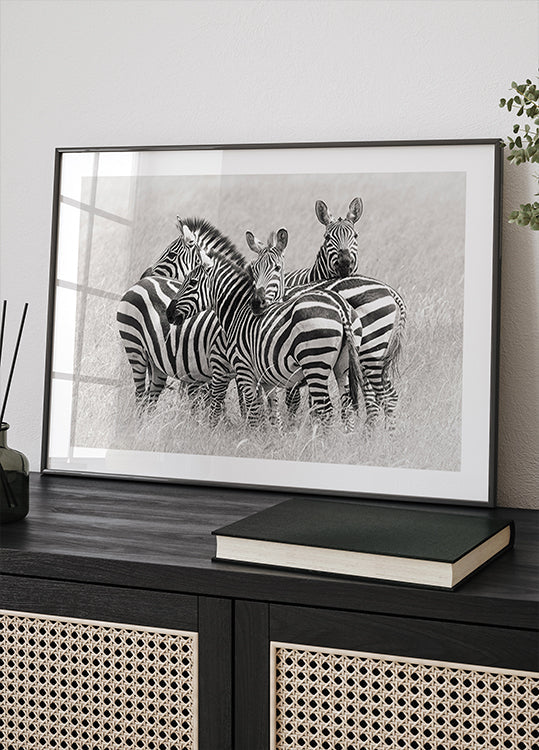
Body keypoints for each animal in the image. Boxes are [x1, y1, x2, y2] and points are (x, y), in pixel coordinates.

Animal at [167, 227, 378, 430]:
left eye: (192, 282)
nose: (168, 313)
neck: (238, 311)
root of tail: (340, 306)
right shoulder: (267, 378)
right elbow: (271, 413)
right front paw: (273, 438)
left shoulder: (244, 370)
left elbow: (253, 413)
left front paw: (252, 437)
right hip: (343, 366)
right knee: (347, 407)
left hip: (315, 363)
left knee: (326, 410)